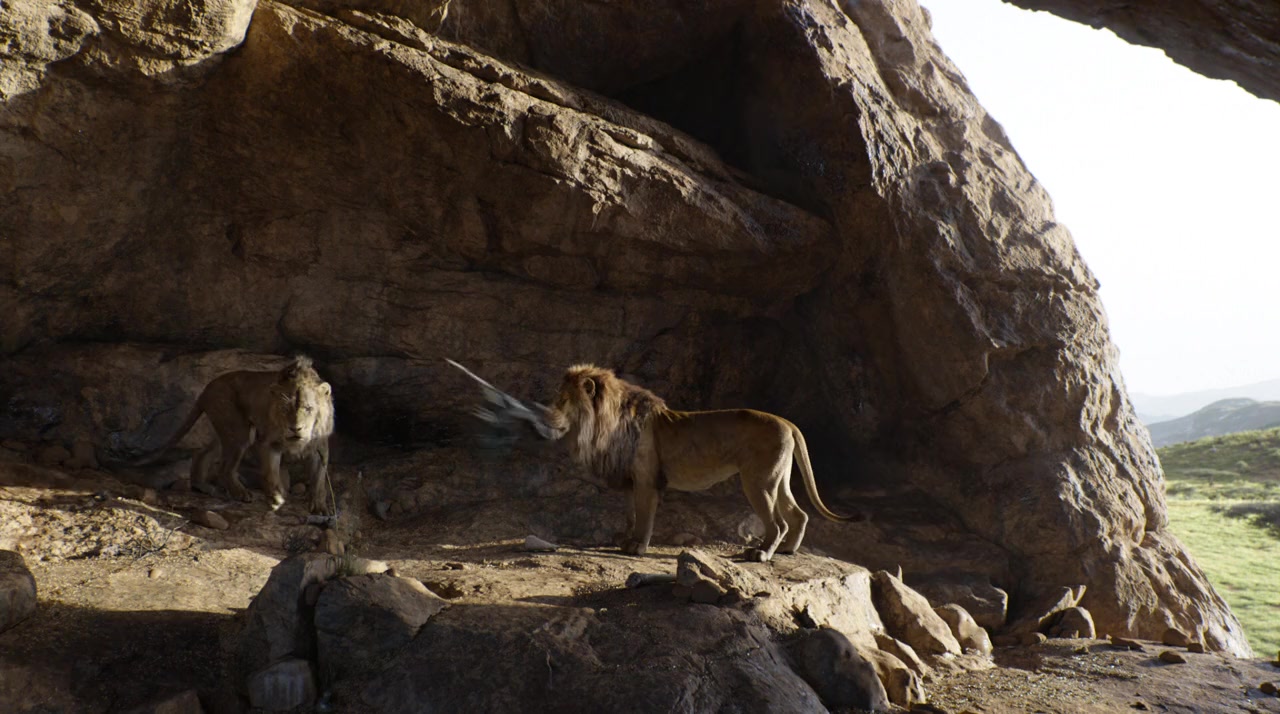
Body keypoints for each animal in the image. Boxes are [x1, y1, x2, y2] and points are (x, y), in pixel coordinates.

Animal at [136, 356, 335, 514]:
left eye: (309, 408)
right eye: (285, 409)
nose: (296, 428)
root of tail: (206, 389)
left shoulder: (320, 447)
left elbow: (319, 479)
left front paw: (319, 507)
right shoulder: (267, 442)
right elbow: (270, 473)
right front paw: (276, 499)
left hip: (224, 430)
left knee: (202, 452)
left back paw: (205, 487)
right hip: (239, 432)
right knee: (225, 468)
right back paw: (240, 493)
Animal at [541, 364, 854, 562]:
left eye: (564, 400)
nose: (546, 415)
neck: (603, 424)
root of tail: (788, 422)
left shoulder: (647, 479)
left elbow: (644, 516)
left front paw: (637, 547)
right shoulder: (630, 480)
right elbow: (631, 514)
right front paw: (625, 540)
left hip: (758, 481)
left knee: (778, 524)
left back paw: (761, 554)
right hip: (779, 478)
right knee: (798, 514)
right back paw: (788, 550)